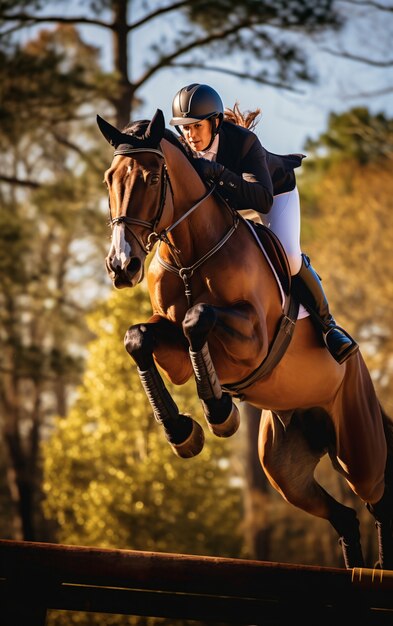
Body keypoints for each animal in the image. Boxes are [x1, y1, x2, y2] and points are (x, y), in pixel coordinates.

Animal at [97, 108, 392, 572]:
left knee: (378, 499)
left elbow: (197, 319)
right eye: (110, 178)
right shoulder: (172, 350)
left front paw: (219, 412)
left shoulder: (251, 339)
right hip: (283, 467)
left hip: (357, 447)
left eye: (151, 177)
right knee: (344, 515)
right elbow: (139, 337)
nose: (121, 266)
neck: (190, 254)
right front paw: (183, 431)